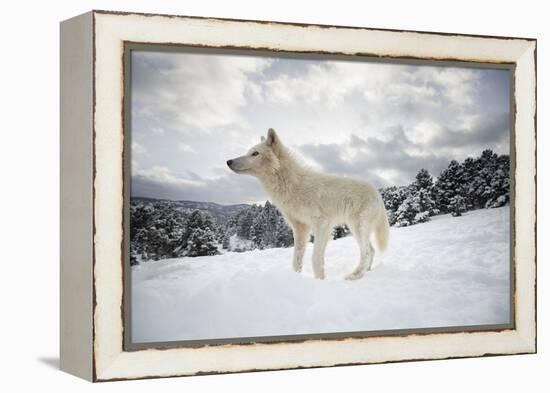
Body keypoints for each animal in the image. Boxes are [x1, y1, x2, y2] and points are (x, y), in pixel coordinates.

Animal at [226, 129, 390, 278]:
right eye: (248, 152)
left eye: (255, 153)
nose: (228, 161)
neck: (293, 185)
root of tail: (377, 192)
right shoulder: (300, 228)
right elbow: (296, 260)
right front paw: (296, 278)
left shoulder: (322, 224)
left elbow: (316, 259)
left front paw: (320, 280)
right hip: (355, 228)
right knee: (371, 250)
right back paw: (366, 272)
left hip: (357, 226)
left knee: (366, 252)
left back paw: (353, 276)